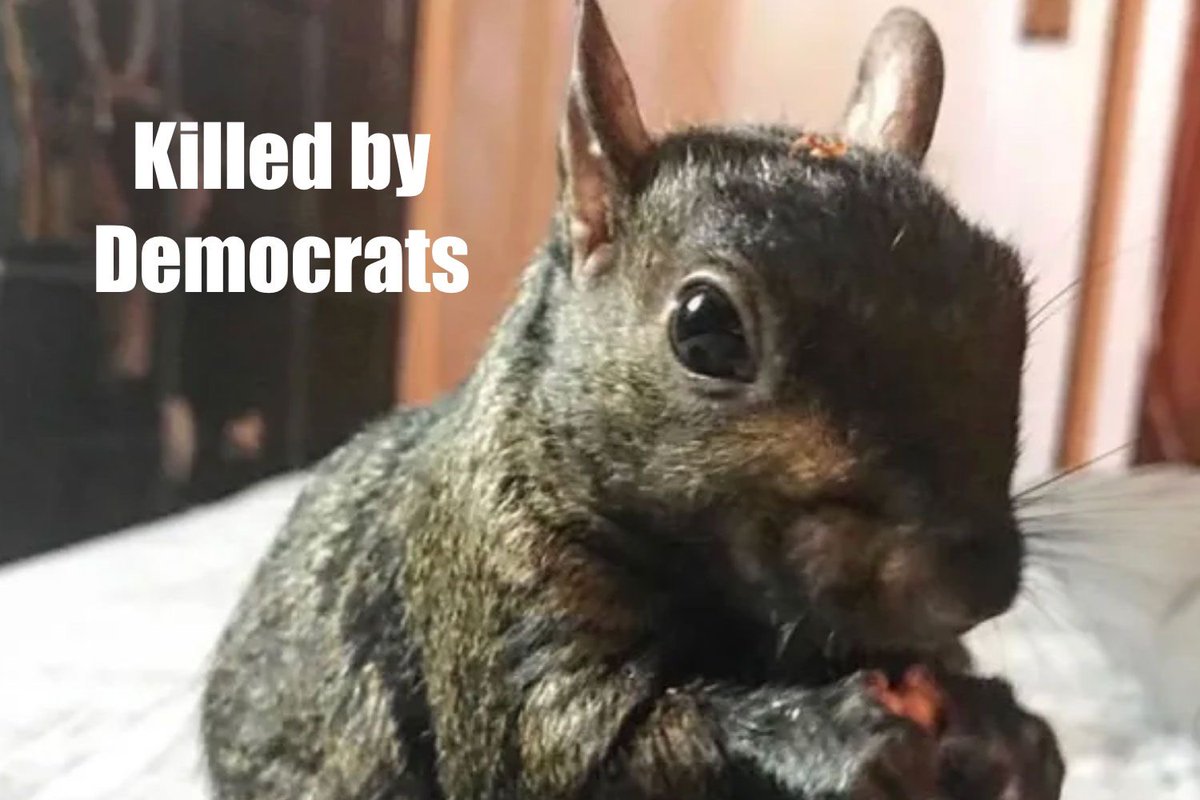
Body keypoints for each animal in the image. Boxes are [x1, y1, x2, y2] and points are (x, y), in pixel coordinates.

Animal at [202, 3, 1065, 799]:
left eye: (1012, 294)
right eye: (705, 330)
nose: (972, 585)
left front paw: (1009, 733)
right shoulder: (493, 582)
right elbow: (577, 750)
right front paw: (828, 731)